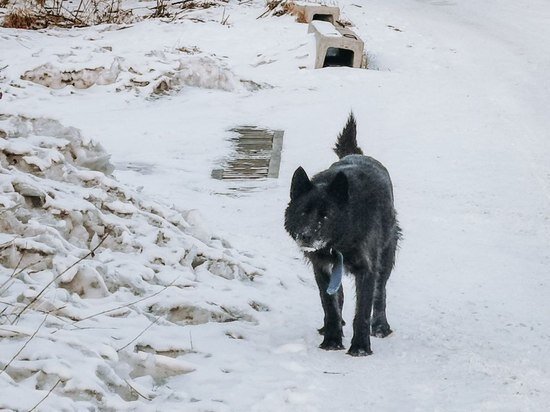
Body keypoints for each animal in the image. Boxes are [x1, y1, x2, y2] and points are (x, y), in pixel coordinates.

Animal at [284, 113, 402, 358]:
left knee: (380, 292)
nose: (305, 237)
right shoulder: (322, 269)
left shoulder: (367, 269)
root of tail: (356, 153)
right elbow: (330, 306)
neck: (339, 241)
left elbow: (363, 312)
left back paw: (380, 326)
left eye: (325, 215)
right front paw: (331, 340)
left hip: (386, 257)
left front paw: (360, 348)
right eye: (303, 213)